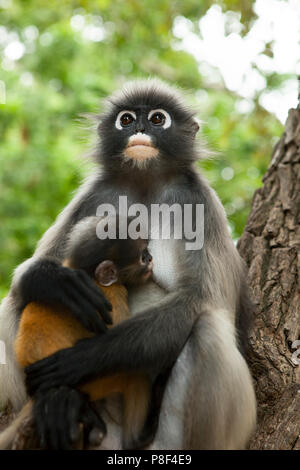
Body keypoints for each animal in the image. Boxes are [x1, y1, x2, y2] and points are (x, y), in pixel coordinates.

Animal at [0, 215, 159, 450]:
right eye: (142, 256)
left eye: (147, 252)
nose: (150, 258)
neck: (90, 273)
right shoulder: (113, 296)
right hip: (97, 381)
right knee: (135, 374)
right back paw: (138, 436)